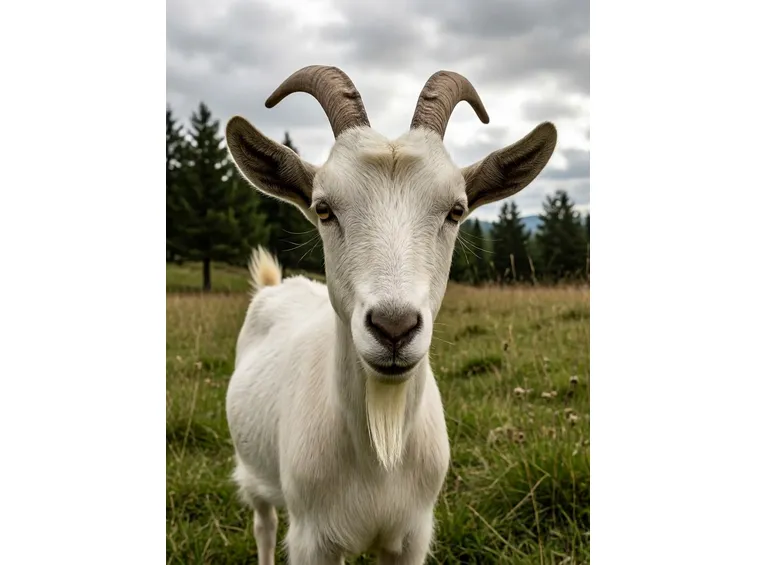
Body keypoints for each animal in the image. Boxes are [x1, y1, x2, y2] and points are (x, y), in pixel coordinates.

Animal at [225, 65, 557, 564]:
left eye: (456, 210)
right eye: (324, 209)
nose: (394, 328)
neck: (378, 454)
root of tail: (274, 285)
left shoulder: (411, 535)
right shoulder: (311, 539)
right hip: (254, 473)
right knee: (263, 524)